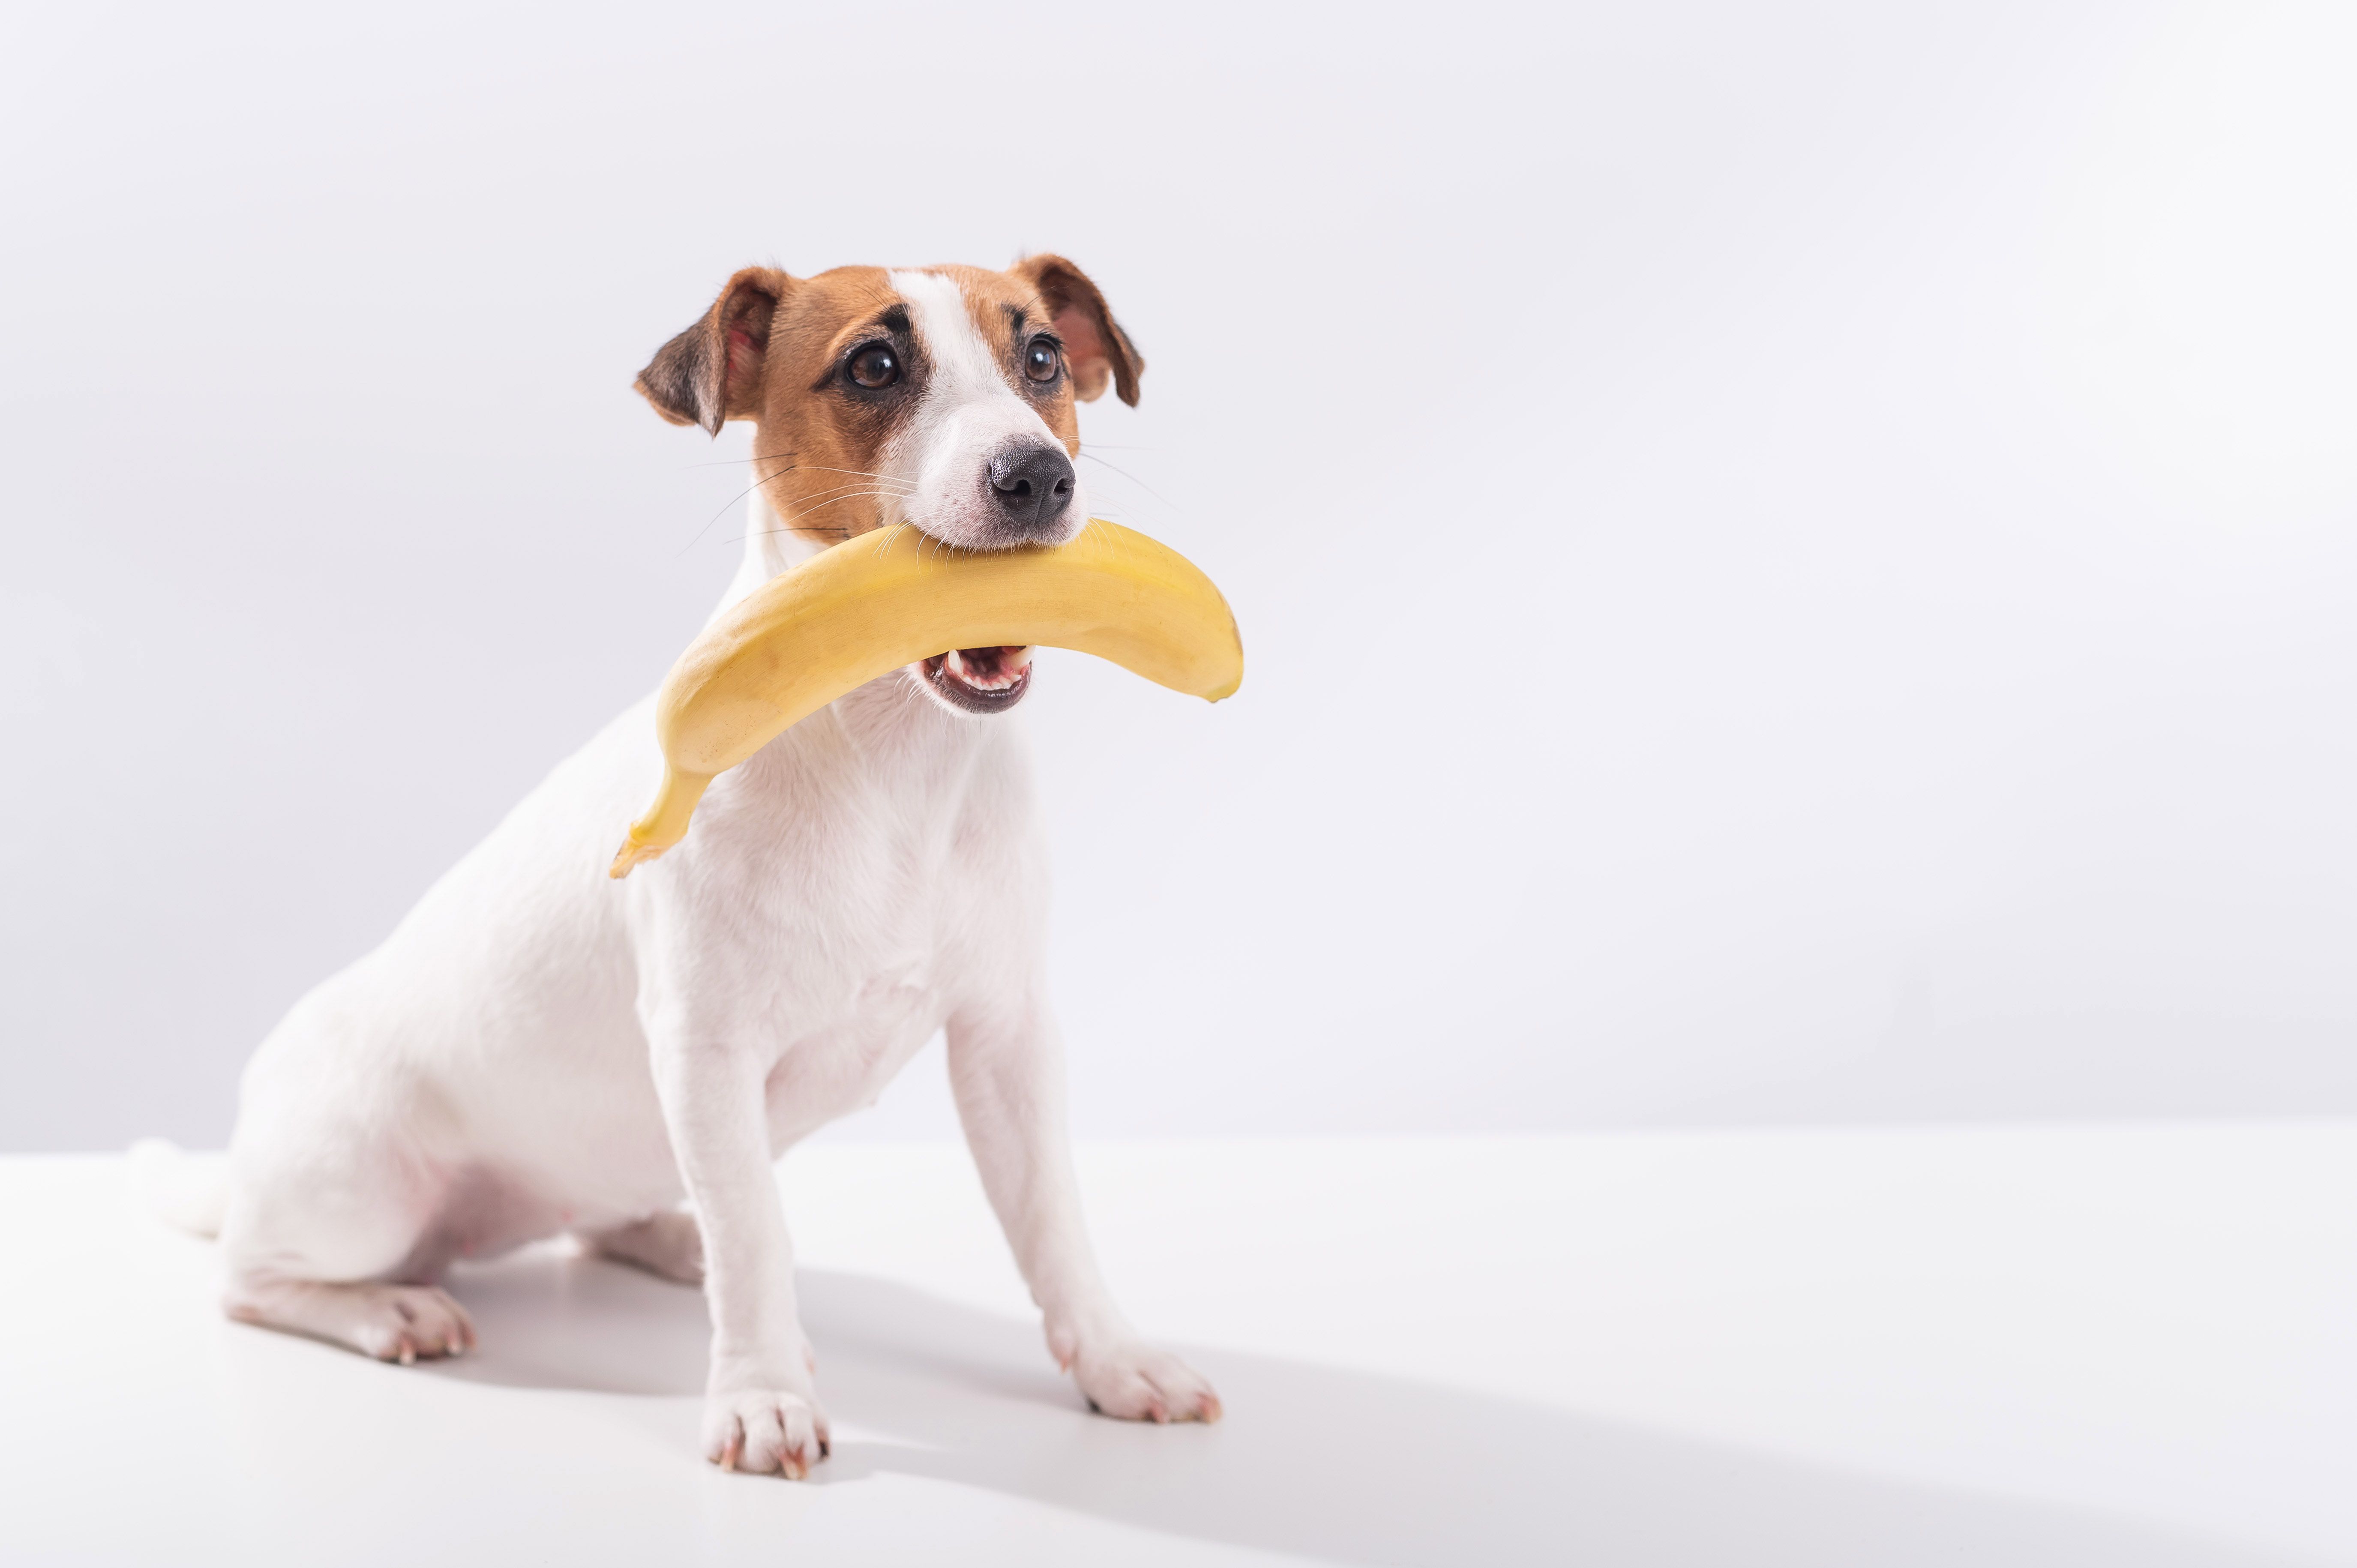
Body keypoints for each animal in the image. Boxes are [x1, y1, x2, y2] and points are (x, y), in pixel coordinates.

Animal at [177, 257, 1226, 1481]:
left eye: (1045, 357)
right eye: (874, 364)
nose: (1037, 476)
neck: (893, 763)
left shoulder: (1006, 1036)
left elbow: (1050, 1219)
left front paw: (1113, 1356)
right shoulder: (707, 1053)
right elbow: (753, 1240)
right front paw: (764, 1390)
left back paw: (653, 1231)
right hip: (357, 1191)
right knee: (248, 1280)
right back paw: (387, 1306)